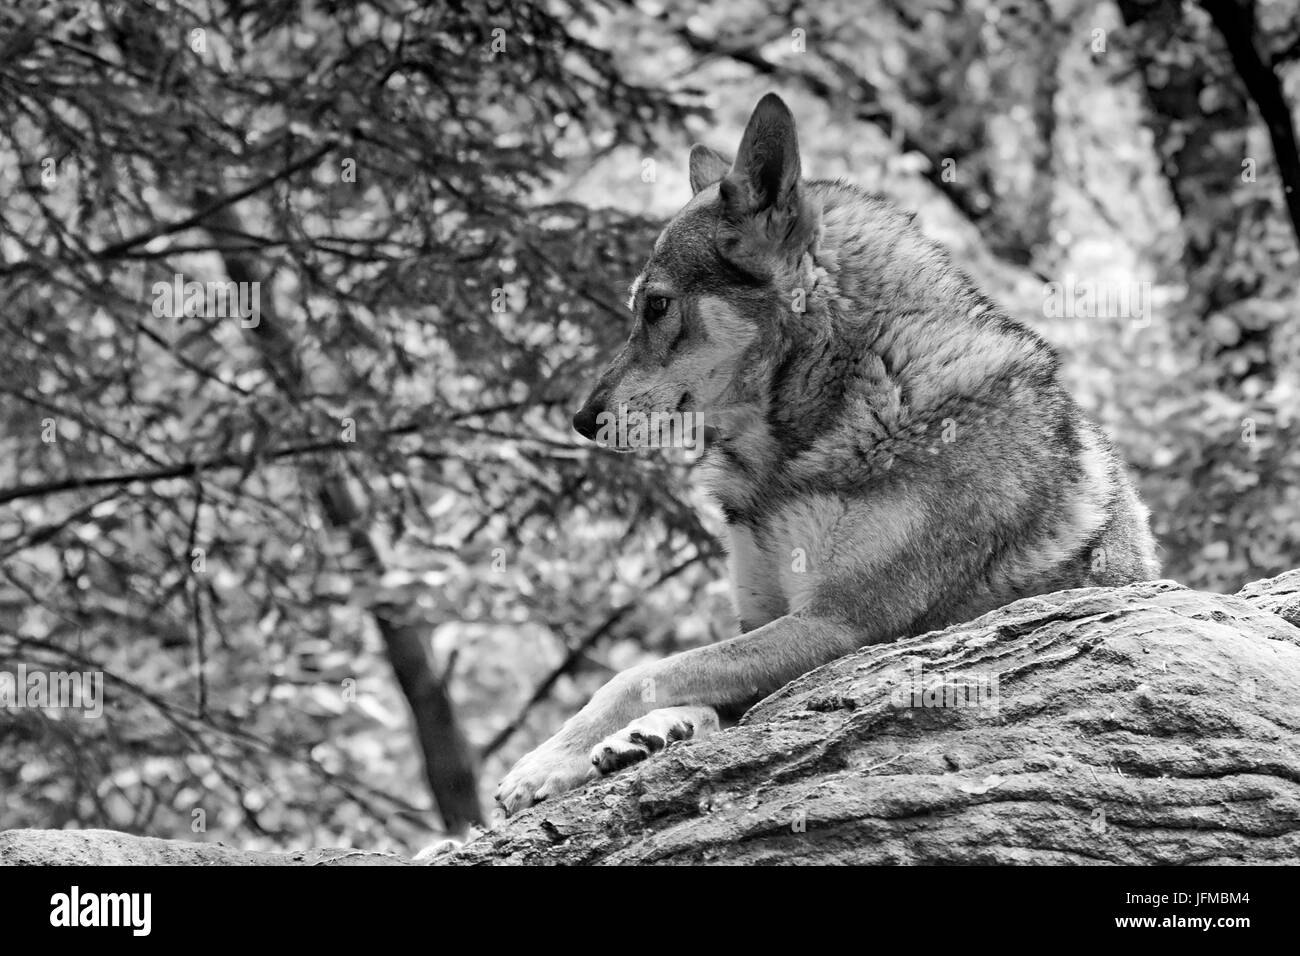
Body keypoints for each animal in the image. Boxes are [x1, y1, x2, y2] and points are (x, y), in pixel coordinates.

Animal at [493, 93, 1159, 816]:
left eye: (657, 307)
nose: (582, 420)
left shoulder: (837, 625)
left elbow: (638, 672)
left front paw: (543, 760)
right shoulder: (769, 618)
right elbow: (682, 675)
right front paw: (624, 738)